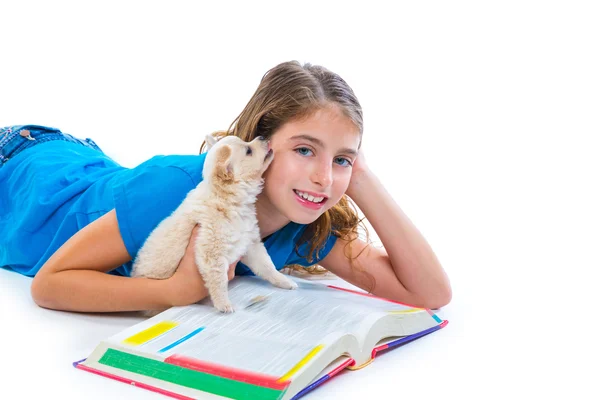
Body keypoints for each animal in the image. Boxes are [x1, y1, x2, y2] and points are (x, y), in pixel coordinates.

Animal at [133, 134, 298, 312]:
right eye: (248, 150)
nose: (262, 136)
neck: (229, 200)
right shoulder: (212, 252)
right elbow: (219, 279)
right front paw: (223, 303)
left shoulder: (250, 244)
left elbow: (267, 266)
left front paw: (284, 281)